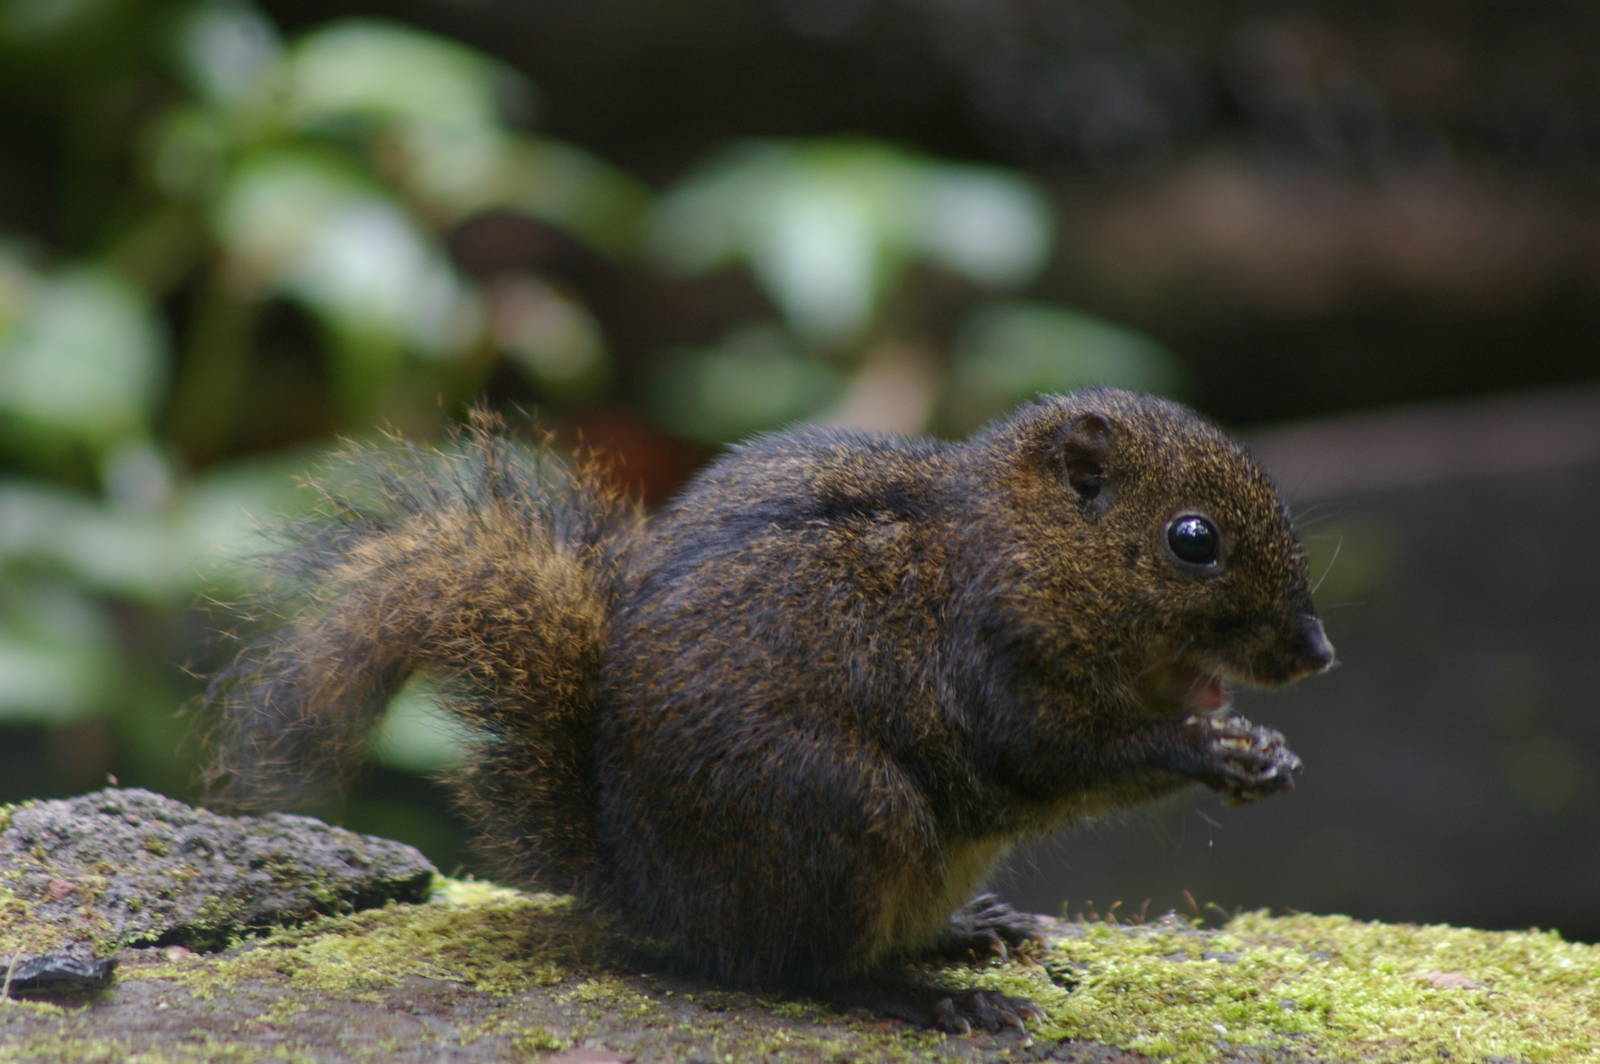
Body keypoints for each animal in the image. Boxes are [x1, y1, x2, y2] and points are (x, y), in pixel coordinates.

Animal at [207, 388, 1334, 1033]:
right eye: (1192, 539)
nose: (1315, 653)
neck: (1019, 545)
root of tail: (655, 895)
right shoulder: (993, 669)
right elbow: (1060, 757)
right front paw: (1216, 751)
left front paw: (1266, 749)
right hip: (844, 815)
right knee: (801, 970)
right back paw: (929, 996)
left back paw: (966, 931)